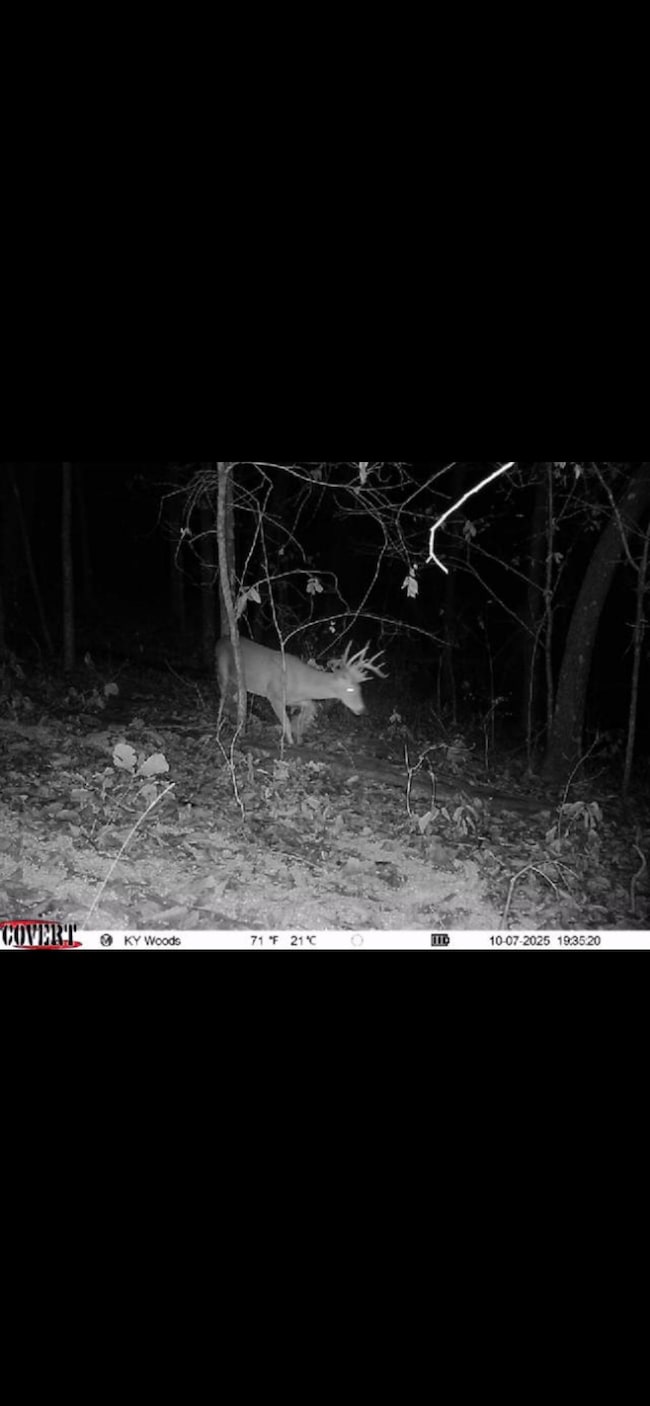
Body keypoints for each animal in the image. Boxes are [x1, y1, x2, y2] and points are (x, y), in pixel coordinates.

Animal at [215, 636, 387, 745]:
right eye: (350, 689)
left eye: (360, 688)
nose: (363, 710)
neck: (301, 682)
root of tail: (220, 639)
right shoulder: (274, 694)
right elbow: (285, 721)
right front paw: (290, 741)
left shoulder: (295, 698)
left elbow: (311, 707)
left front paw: (299, 737)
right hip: (223, 668)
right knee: (222, 696)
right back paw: (219, 724)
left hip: (236, 682)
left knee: (233, 697)